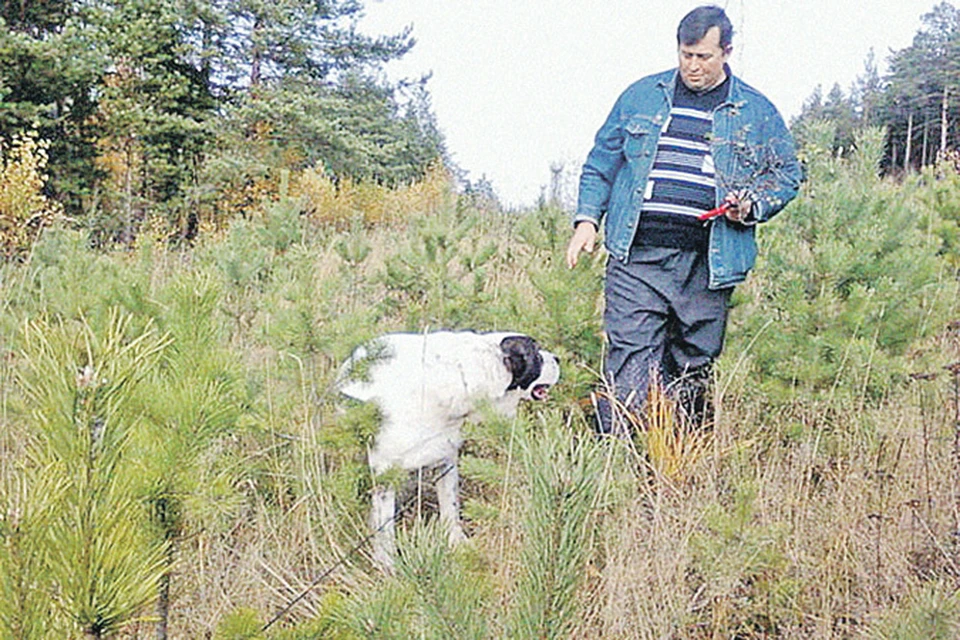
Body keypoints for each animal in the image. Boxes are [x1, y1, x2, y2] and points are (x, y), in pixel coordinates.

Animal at [340, 330, 560, 568]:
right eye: (536, 354)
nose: (558, 359)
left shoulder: (446, 459)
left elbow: (450, 506)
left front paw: (456, 542)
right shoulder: (385, 472)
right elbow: (384, 528)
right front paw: (386, 564)